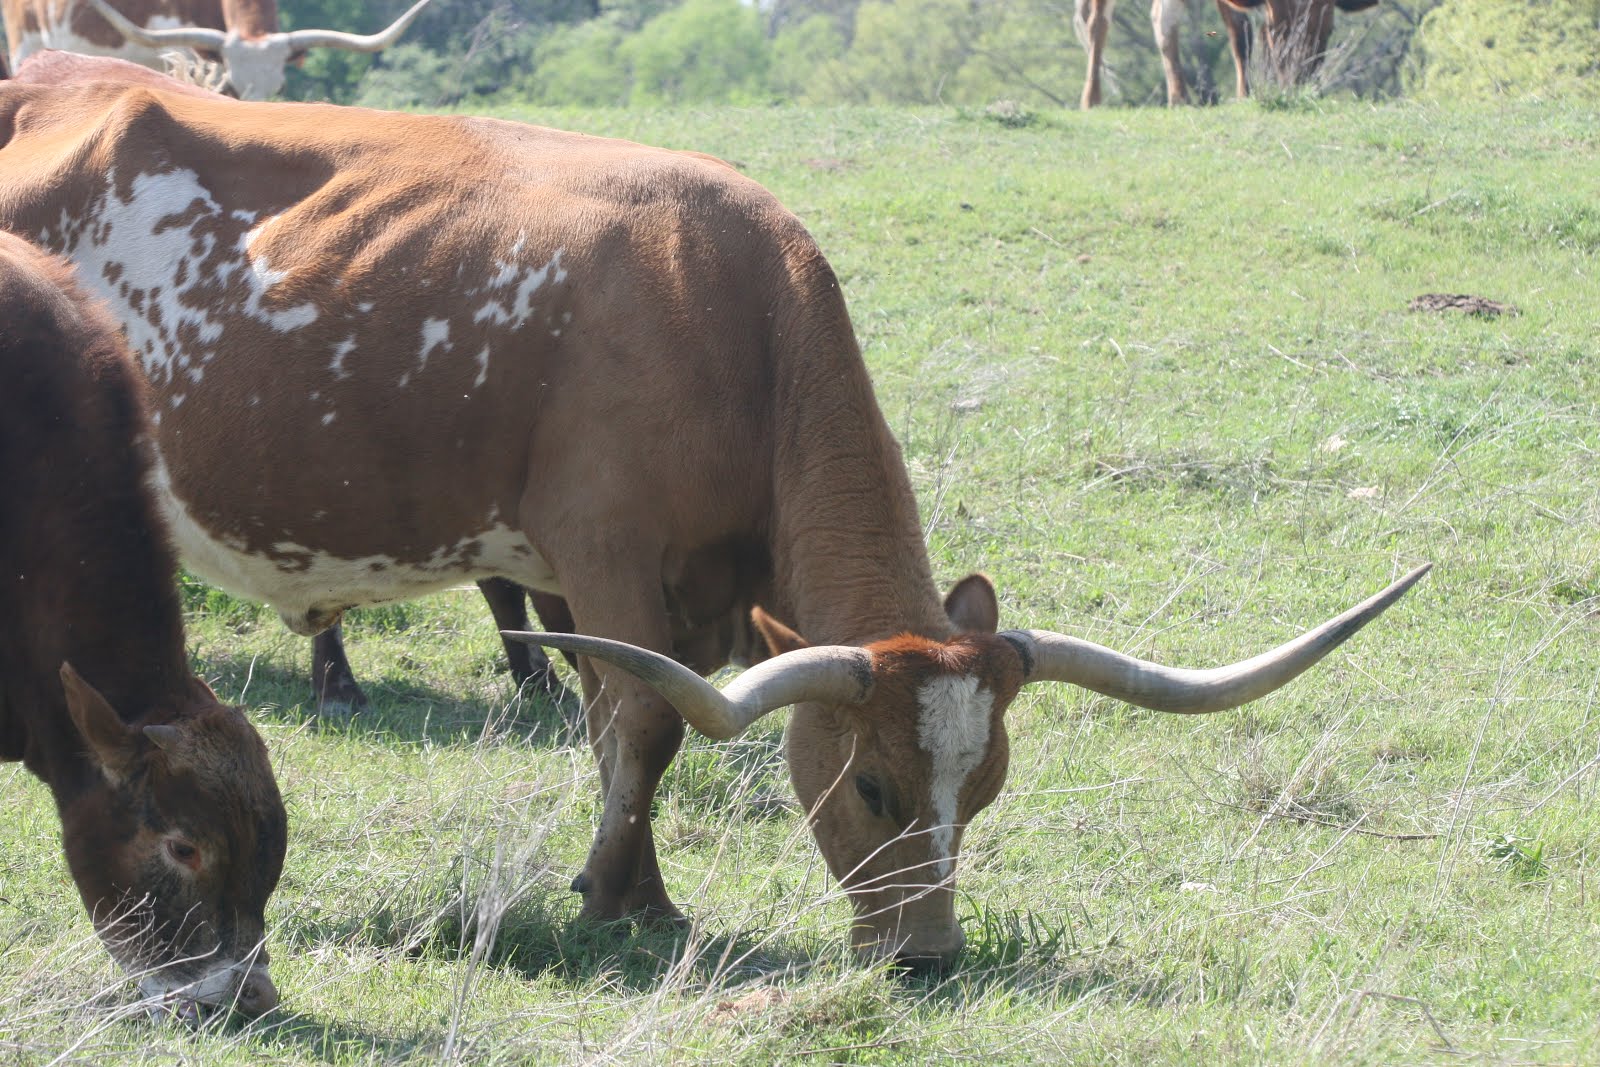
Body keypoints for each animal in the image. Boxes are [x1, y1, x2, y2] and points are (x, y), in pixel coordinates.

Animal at [1081, 0, 1382, 107]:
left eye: (1328, 31)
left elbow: (1245, 33)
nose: (1297, 83)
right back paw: (1092, 98)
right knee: (1098, 21)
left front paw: (1247, 92)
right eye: (1276, 31)